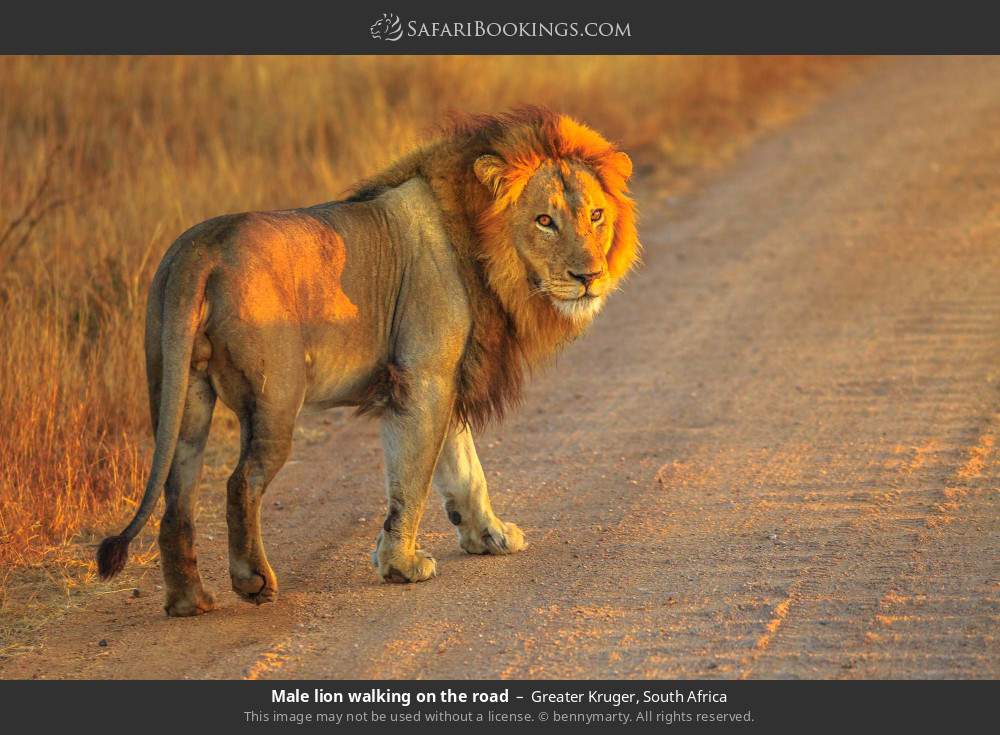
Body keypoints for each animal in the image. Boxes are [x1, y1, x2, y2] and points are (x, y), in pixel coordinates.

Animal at [97, 107, 640, 616]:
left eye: (595, 216)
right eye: (545, 221)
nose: (589, 276)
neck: (484, 247)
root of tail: (200, 250)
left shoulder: (448, 375)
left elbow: (464, 468)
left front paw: (489, 535)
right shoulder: (424, 377)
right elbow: (413, 477)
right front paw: (401, 565)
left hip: (182, 394)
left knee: (177, 496)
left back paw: (189, 600)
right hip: (275, 400)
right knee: (240, 483)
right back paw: (253, 581)